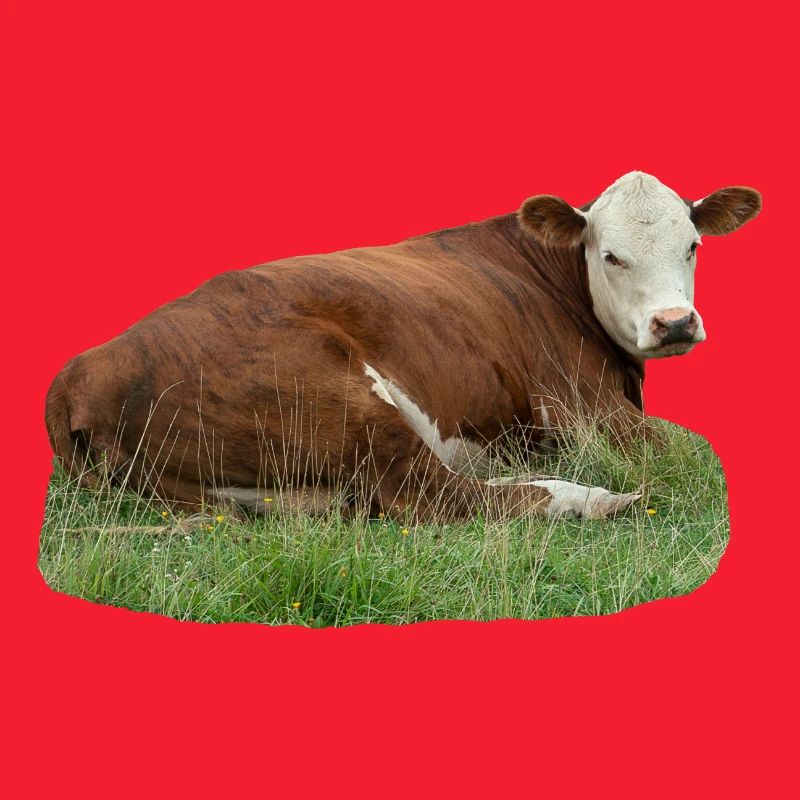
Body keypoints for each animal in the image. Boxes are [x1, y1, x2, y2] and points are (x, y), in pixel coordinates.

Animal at [45, 172, 761, 521]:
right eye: (610, 255)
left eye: (693, 245)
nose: (675, 323)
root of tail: (81, 368)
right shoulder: (584, 408)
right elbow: (689, 451)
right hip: (340, 402)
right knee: (436, 498)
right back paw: (590, 499)